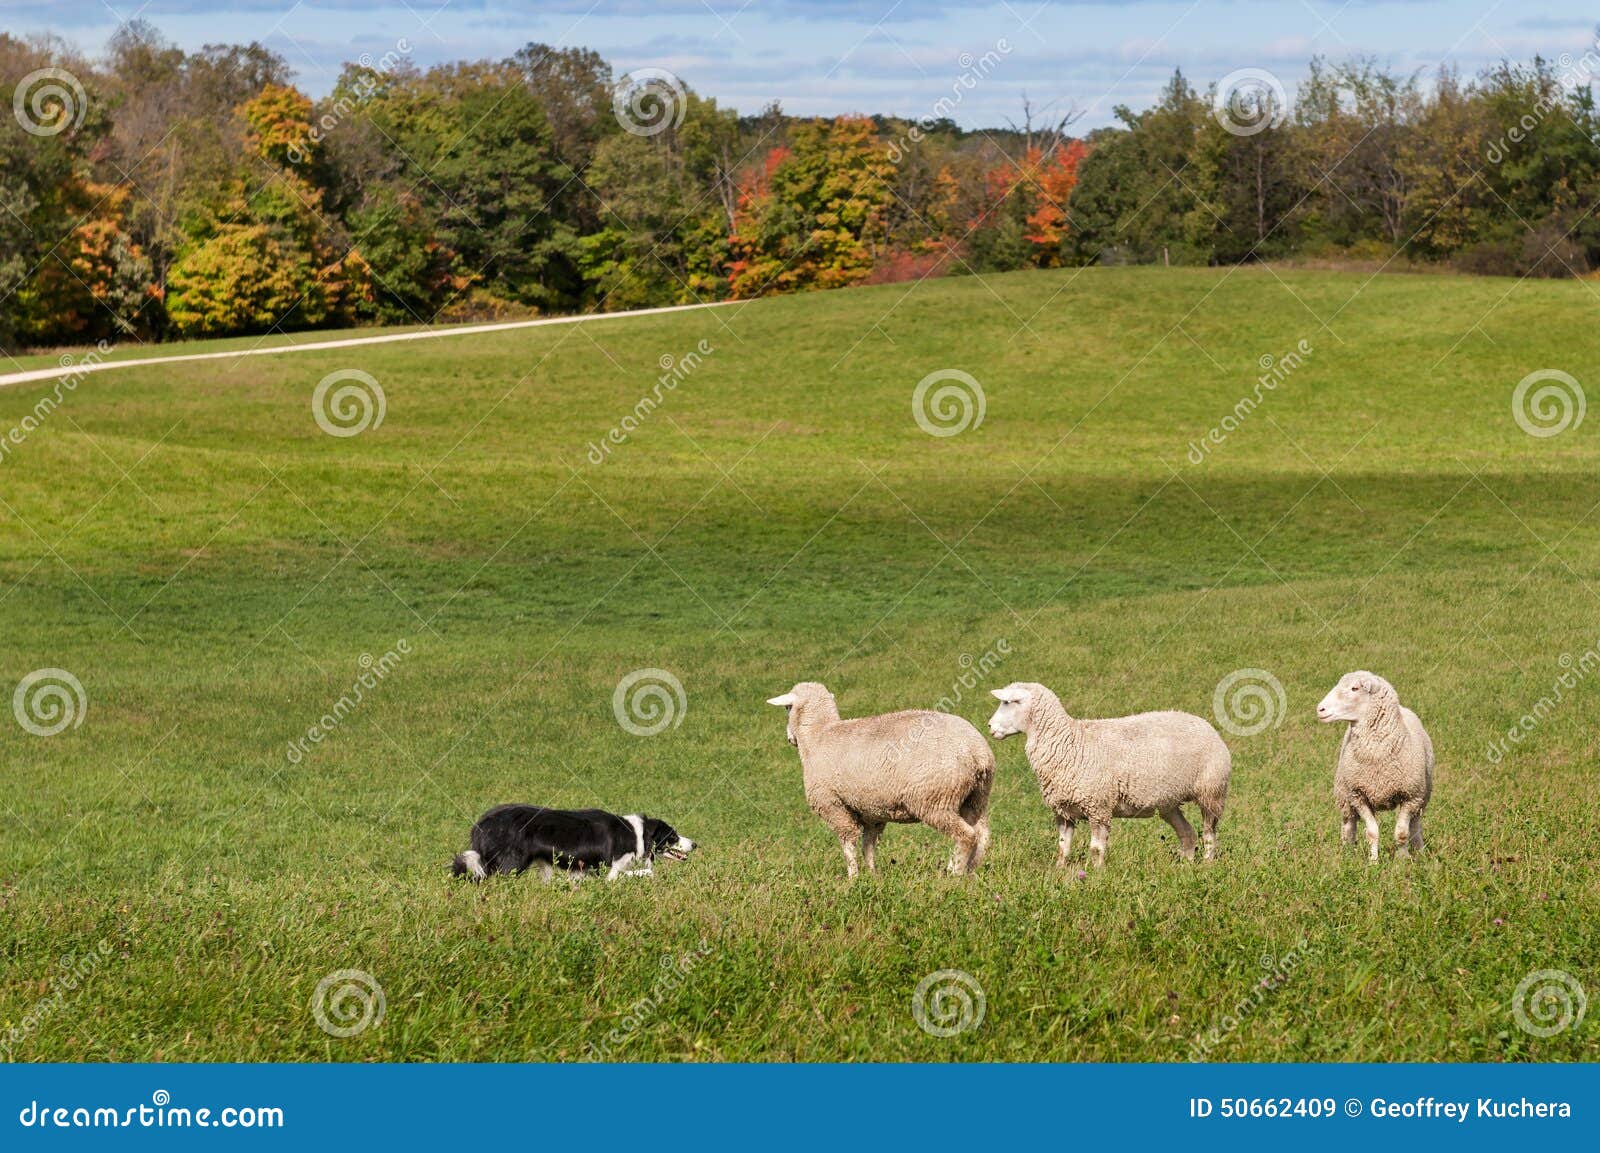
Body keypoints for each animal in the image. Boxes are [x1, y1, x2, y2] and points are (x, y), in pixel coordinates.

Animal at [761, 678, 985, 876]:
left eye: (787, 707)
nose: (789, 738)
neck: (818, 734)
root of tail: (976, 750)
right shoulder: (871, 811)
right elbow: (868, 845)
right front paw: (873, 875)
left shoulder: (832, 804)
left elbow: (849, 843)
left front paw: (853, 877)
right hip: (976, 797)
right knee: (981, 836)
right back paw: (970, 871)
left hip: (935, 800)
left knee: (966, 835)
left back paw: (954, 873)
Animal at [979, 678, 1228, 869]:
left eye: (1007, 702)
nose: (990, 727)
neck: (1069, 742)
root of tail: (1206, 724)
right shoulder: (1064, 811)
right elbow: (1062, 847)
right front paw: (1059, 872)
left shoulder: (1098, 806)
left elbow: (1096, 849)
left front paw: (1096, 875)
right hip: (1169, 801)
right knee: (1187, 833)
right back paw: (1186, 866)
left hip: (1211, 791)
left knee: (1209, 834)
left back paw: (1207, 865)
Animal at [1312, 671, 1440, 857]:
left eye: (1355, 688)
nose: (1320, 709)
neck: (1376, 754)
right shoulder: (1358, 795)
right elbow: (1372, 832)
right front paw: (1373, 861)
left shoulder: (1410, 796)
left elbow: (1402, 833)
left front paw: (1403, 860)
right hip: (1344, 795)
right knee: (1348, 825)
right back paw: (1347, 854)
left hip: (1422, 796)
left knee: (1416, 825)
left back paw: (1420, 851)